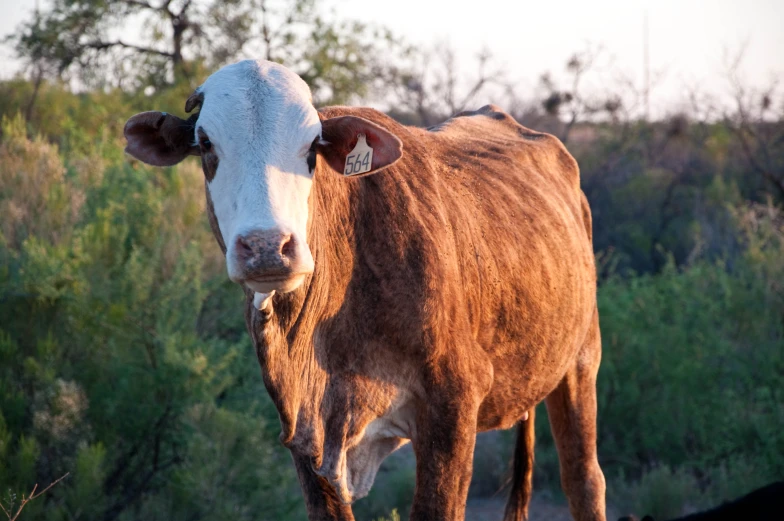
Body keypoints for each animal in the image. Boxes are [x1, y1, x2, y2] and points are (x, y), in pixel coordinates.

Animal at [124, 59, 608, 516]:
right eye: (205, 144)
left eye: (312, 147)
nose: (267, 247)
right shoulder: (306, 438)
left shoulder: (453, 405)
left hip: (581, 361)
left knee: (583, 479)